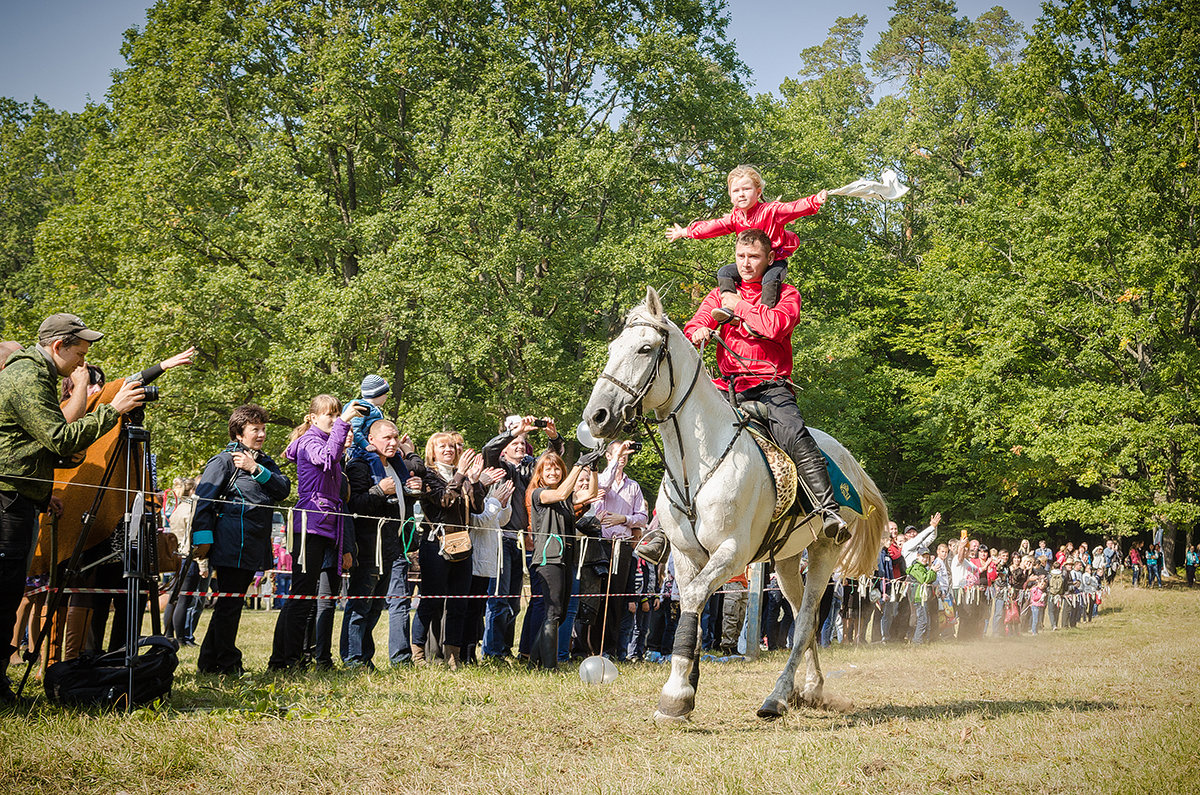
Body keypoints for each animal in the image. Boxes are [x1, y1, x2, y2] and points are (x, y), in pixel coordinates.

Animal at [585, 289, 888, 725]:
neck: (697, 461)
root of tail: (846, 459)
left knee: (807, 619)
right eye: (612, 348)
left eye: (645, 348)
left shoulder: (731, 552)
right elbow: (691, 606)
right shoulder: (685, 554)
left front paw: (676, 694)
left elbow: (695, 597)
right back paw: (810, 688)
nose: (597, 416)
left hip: (823, 552)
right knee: (803, 614)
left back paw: (779, 696)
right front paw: (688, 684)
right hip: (786, 560)